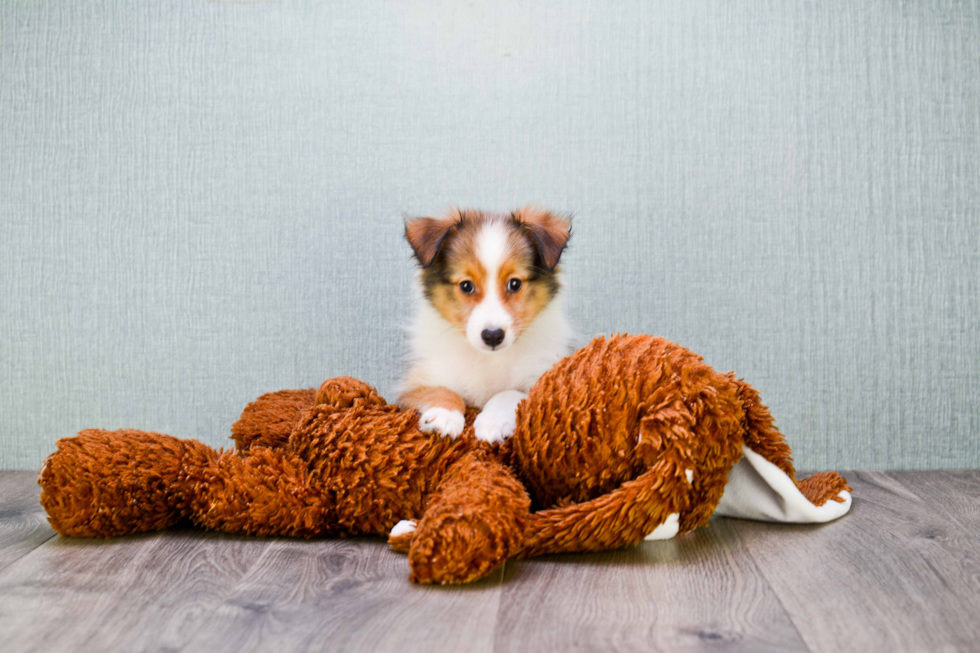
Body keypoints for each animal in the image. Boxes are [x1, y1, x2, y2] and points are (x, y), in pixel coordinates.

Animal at [398, 209, 576, 444]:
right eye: (466, 285)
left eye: (515, 283)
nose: (492, 336)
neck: (489, 358)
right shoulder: (414, 385)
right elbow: (442, 391)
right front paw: (444, 416)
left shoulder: (542, 381)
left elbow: (507, 393)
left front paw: (493, 423)